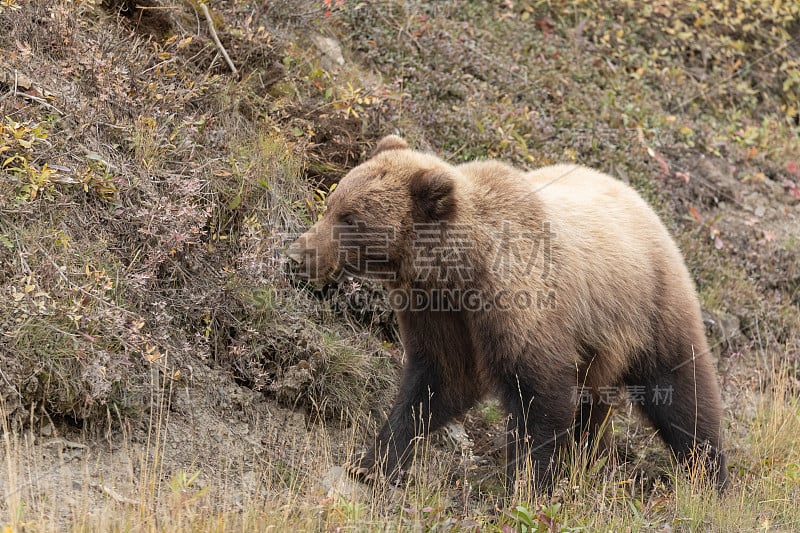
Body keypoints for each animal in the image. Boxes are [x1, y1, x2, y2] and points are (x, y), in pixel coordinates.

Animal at [288, 135, 732, 492]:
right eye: (332, 203)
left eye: (351, 219)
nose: (298, 255)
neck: (462, 273)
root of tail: (642, 201)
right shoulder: (439, 311)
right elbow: (436, 381)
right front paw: (372, 464)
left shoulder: (522, 306)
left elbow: (539, 396)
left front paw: (526, 485)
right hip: (601, 344)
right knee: (596, 404)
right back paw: (589, 456)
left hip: (651, 306)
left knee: (682, 391)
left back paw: (709, 475)